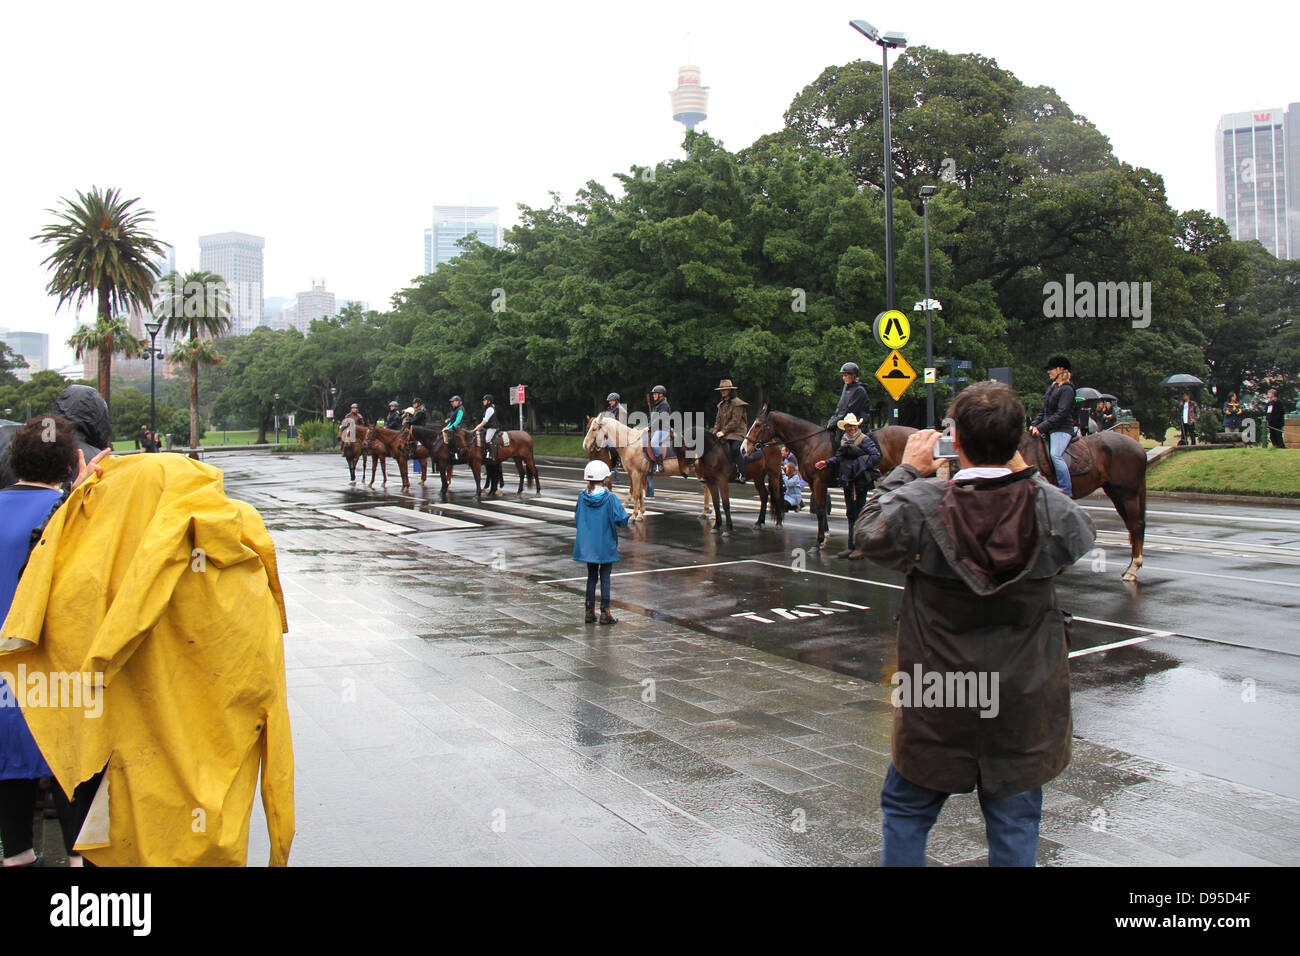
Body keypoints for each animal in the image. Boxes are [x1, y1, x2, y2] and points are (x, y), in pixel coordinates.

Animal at [585, 416, 738, 535]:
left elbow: (636, 493)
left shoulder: (635, 473)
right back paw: (705, 513)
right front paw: (641, 514)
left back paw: (712, 516)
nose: (585, 445)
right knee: (707, 490)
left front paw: (634, 516)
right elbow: (640, 493)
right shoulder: (640, 474)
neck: (630, 443)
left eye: (594, 429)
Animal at [1013, 429, 1149, 580]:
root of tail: (1139, 447)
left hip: (1128, 494)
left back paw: (1133, 568)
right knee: (1131, 526)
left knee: (1136, 526)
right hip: (1116, 493)